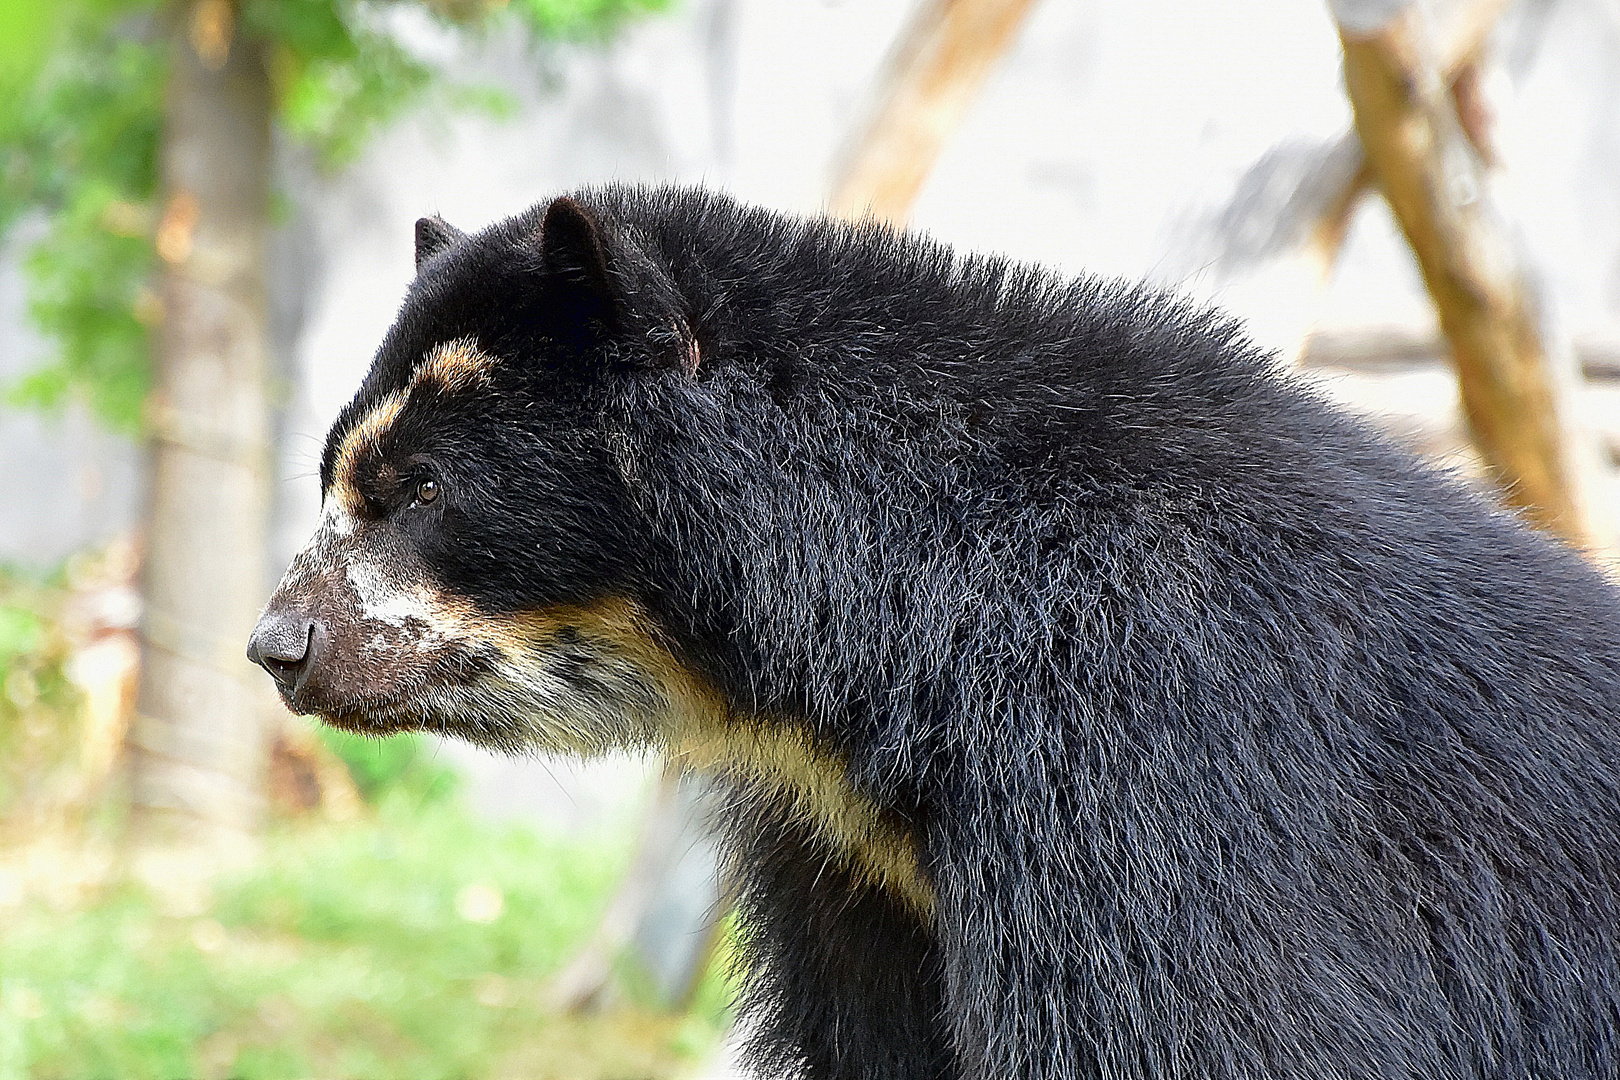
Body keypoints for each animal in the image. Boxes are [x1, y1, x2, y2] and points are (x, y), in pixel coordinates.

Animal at [246, 187, 1620, 1080]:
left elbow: (1221, 1030)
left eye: (421, 488)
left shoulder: (1166, 784)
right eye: (333, 480)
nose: (279, 646)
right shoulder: (853, 870)